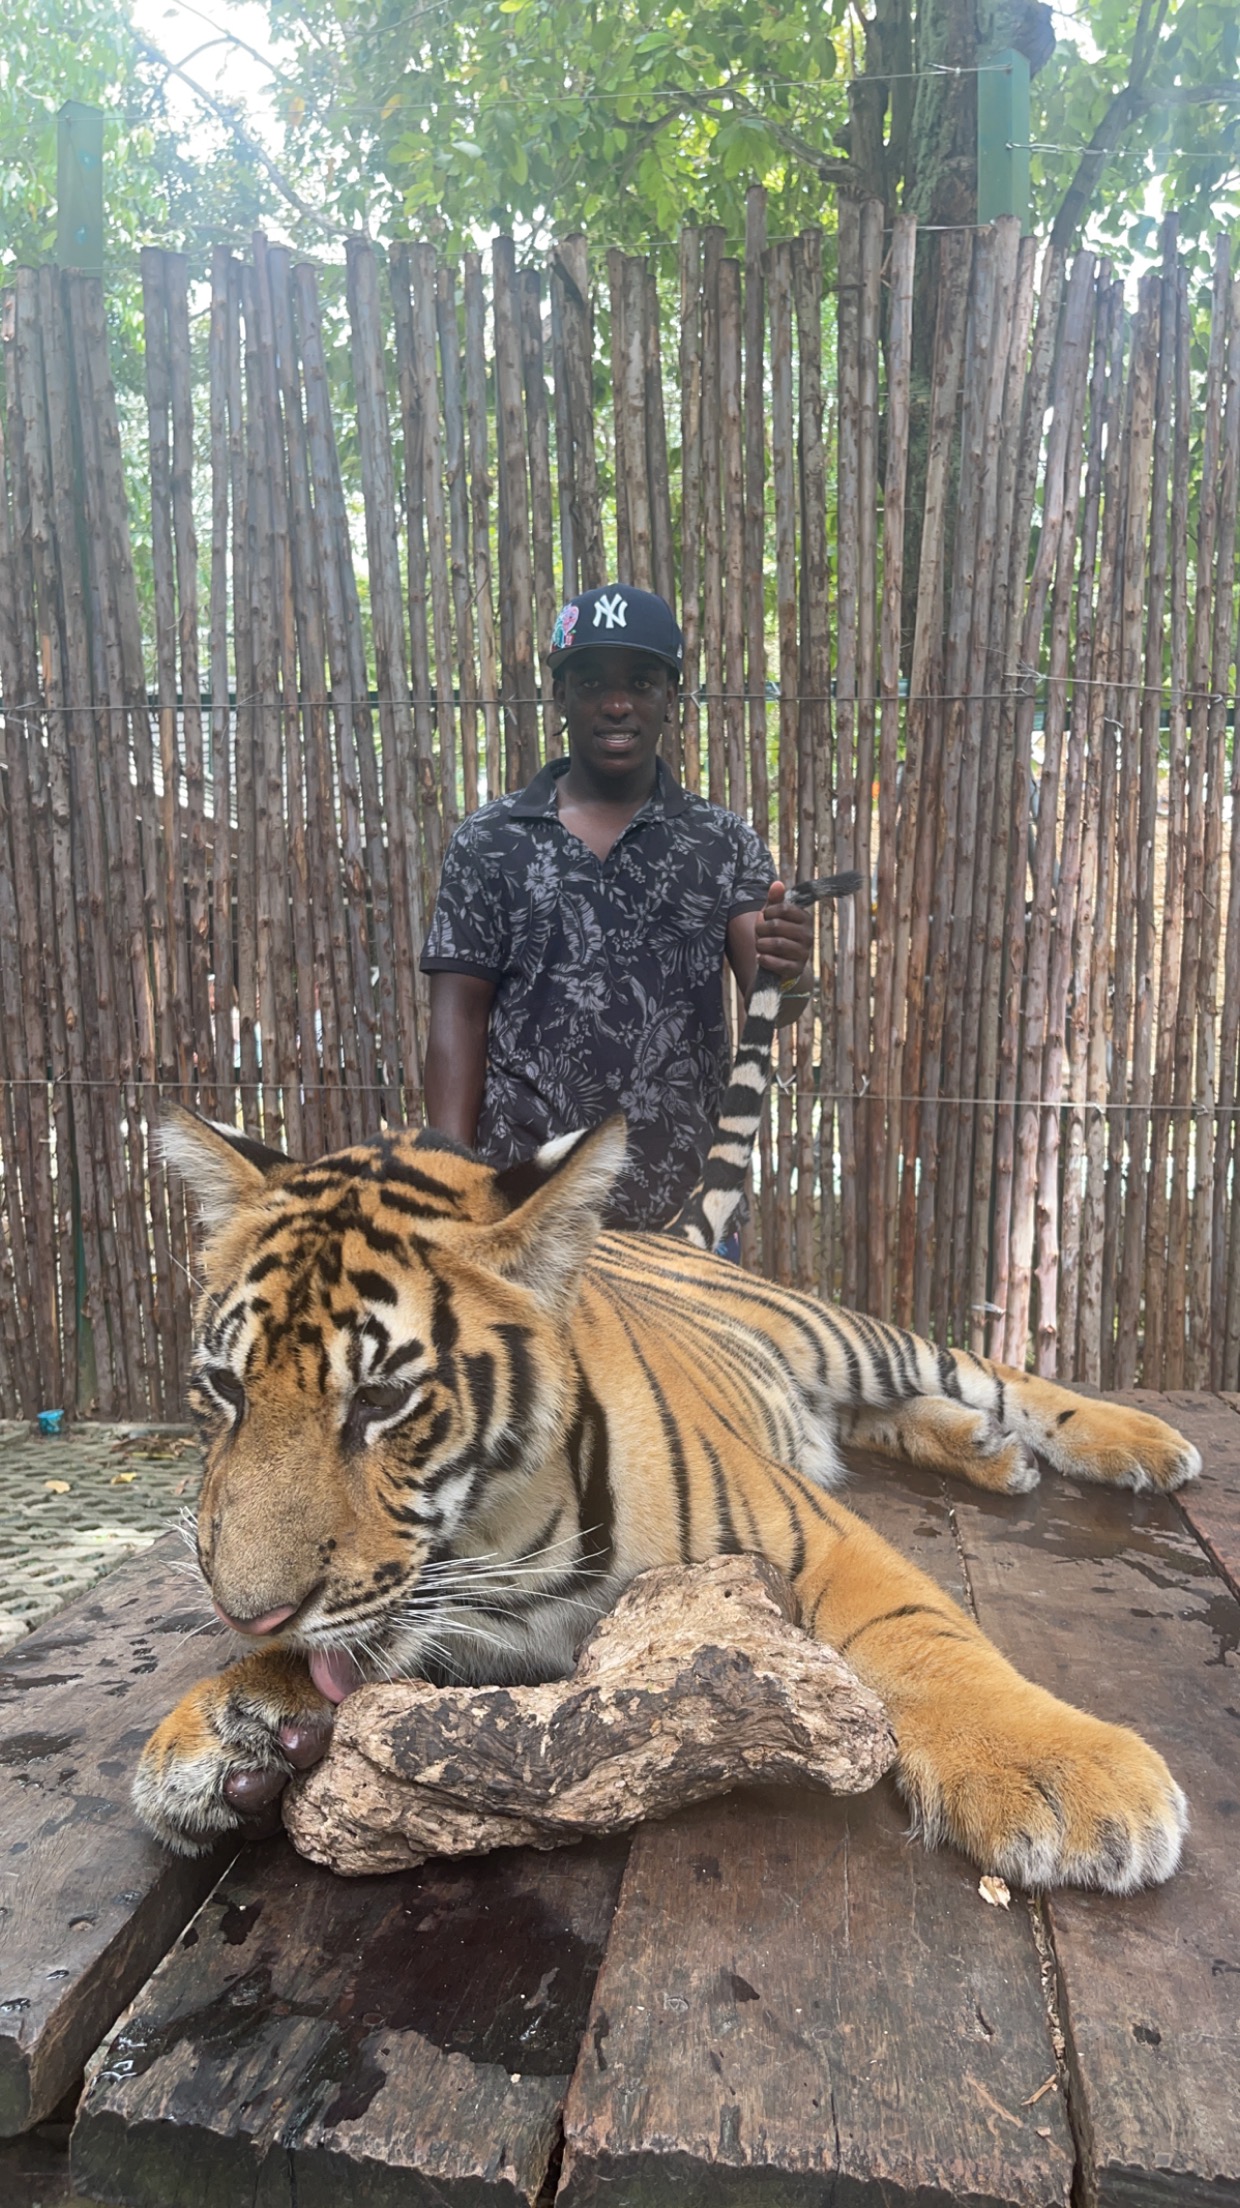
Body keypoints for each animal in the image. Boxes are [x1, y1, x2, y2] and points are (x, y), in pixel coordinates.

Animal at [135, 878, 1200, 1898]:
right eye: (225, 1388)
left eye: (379, 1403)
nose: (245, 1614)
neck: (505, 1547)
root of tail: (663, 1231)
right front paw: (220, 1724)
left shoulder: (815, 1536)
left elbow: (921, 1633)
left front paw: (1061, 1772)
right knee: (876, 1419)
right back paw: (986, 1450)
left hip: (848, 1336)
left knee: (984, 1370)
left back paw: (1133, 1442)